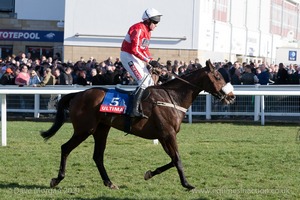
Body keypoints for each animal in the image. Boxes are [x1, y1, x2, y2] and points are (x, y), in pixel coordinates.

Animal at [41, 59, 236, 191]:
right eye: (218, 76)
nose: (232, 96)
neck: (172, 98)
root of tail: (78, 94)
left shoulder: (164, 136)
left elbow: (172, 160)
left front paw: (149, 173)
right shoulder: (168, 134)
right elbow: (178, 160)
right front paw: (187, 184)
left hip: (101, 129)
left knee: (97, 156)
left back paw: (109, 183)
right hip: (84, 129)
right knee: (65, 148)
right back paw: (57, 179)